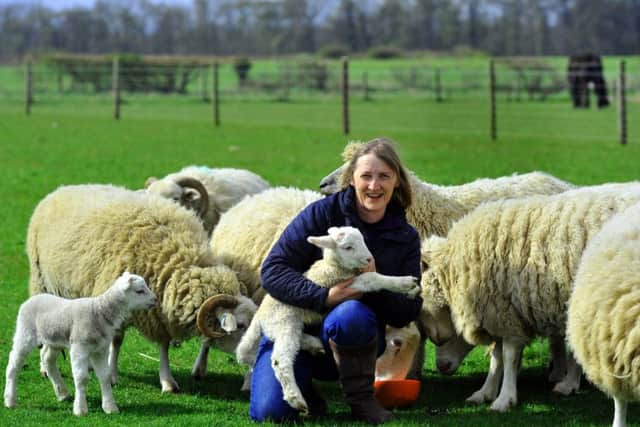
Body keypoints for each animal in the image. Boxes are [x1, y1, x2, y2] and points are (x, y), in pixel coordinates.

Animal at [4, 272, 157, 416]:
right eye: (139, 291)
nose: (155, 300)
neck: (99, 311)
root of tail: (30, 300)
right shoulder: (79, 347)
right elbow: (82, 378)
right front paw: (80, 409)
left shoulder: (100, 349)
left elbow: (105, 377)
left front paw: (110, 407)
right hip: (25, 333)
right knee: (13, 363)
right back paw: (10, 400)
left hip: (54, 338)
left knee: (48, 359)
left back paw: (62, 393)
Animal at [26, 186, 258, 392]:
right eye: (240, 325)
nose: (259, 354)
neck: (174, 259)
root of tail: (60, 190)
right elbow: (117, 340)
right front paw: (112, 375)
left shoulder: (160, 313)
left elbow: (163, 346)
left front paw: (167, 382)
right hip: (41, 281)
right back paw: (44, 368)